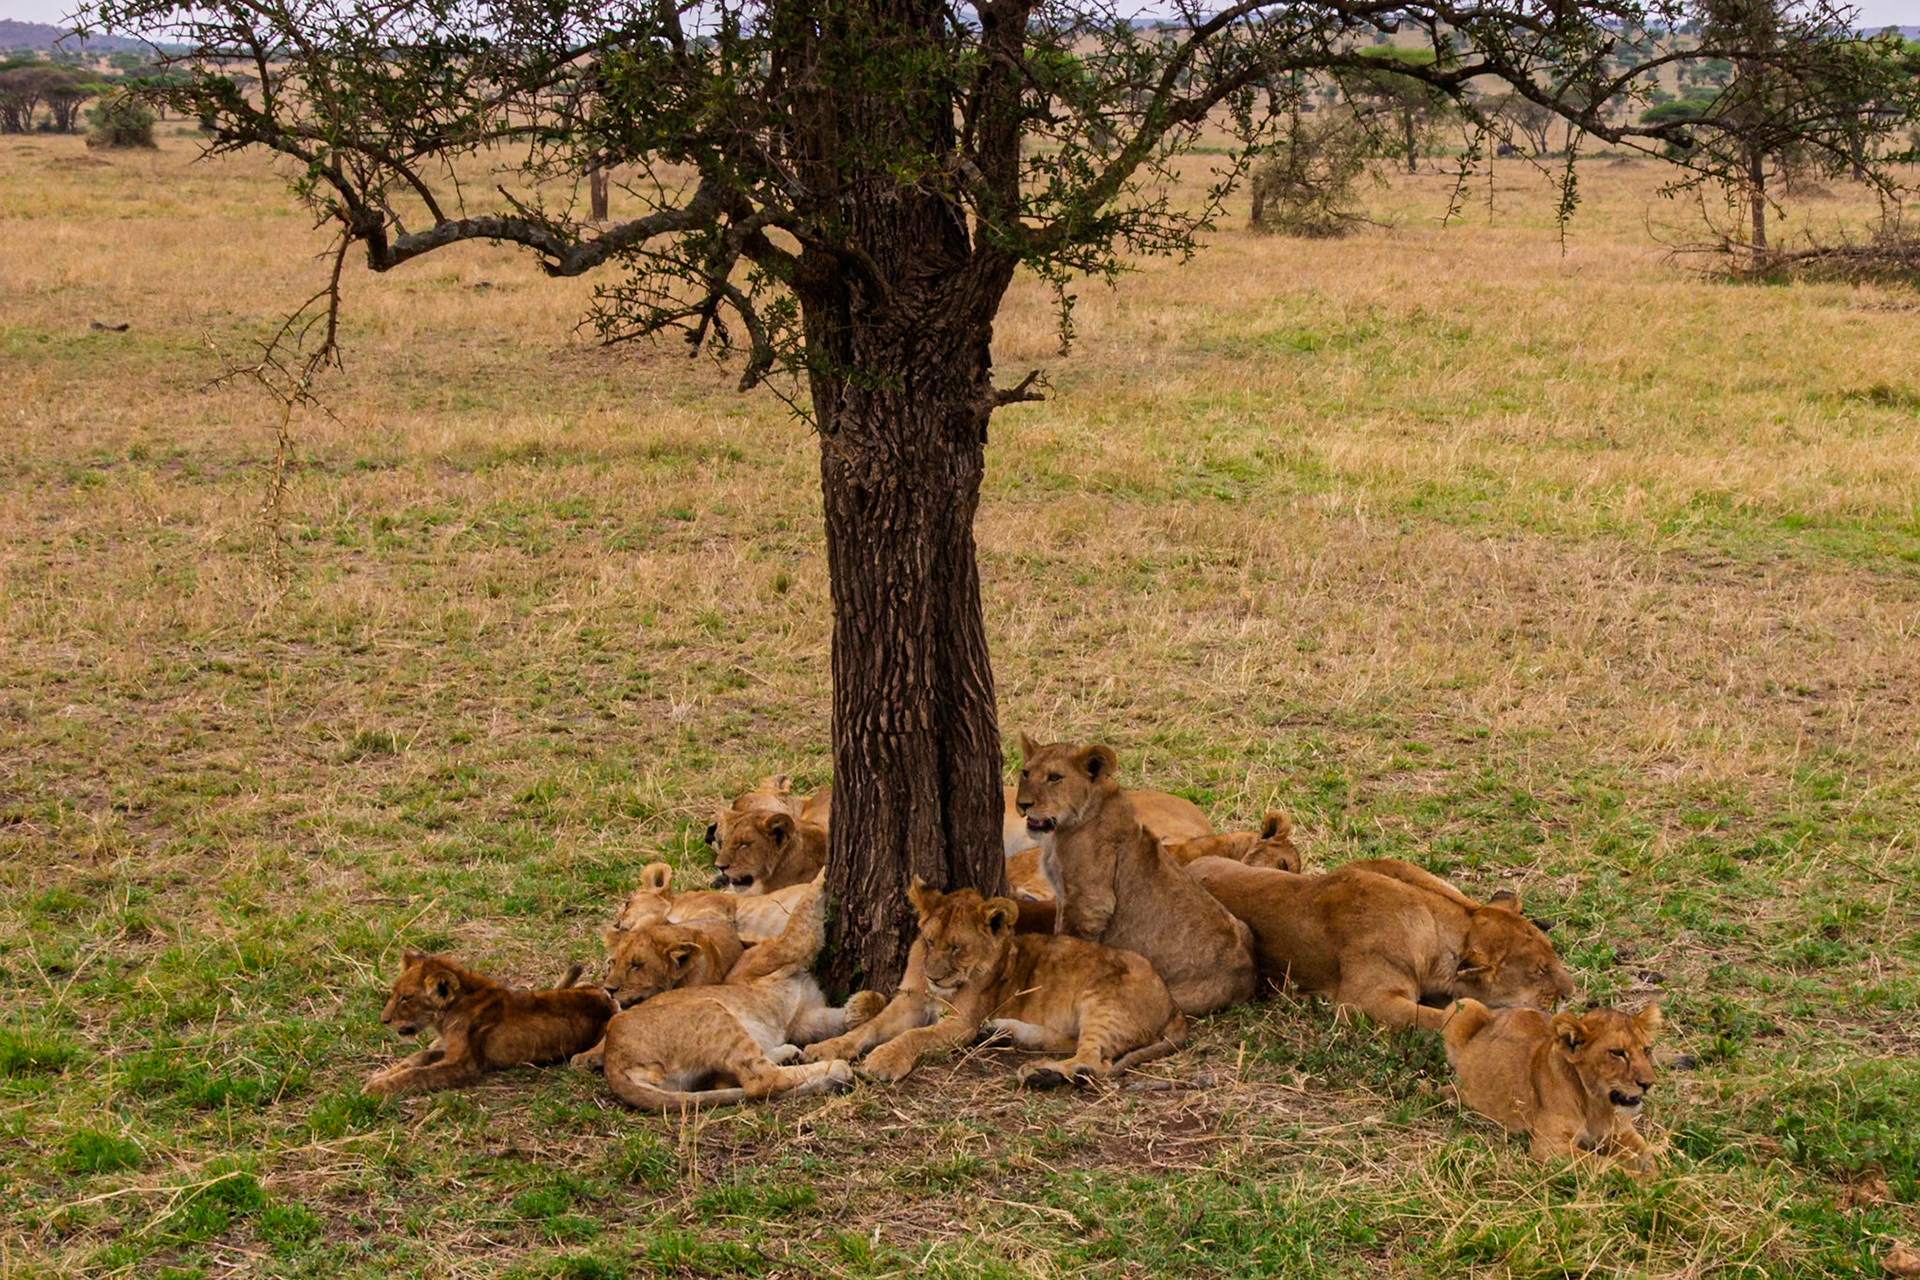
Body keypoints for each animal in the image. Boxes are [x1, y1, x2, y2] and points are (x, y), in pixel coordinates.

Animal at [365, 952, 614, 1097]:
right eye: (394, 993)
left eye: (405, 998)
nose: (384, 1020)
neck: (446, 1016)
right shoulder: (452, 1050)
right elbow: (417, 1058)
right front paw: (379, 1076)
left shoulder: (464, 1064)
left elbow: (418, 1074)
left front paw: (376, 1088)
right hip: (587, 985)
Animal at [599, 871, 885, 1110]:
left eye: (635, 965)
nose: (609, 989)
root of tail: (612, 1063)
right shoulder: (779, 952)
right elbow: (803, 916)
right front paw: (821, 874)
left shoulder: (803, 1018)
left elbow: (839, 1019)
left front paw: (864, 1003)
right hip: (711, 1010)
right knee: (762, 1081)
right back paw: (834, 1070)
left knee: (737, 1080)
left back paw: (793, 1056)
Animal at [802, 879, 1187, 1087]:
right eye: (930, 941)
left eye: (957, 947)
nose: (934, 976)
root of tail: (1174, 1004)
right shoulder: (909, 1001)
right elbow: (867, 1028)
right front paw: (827, 1048)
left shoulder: (960, 1023)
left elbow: (915, 1036)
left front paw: (885, 1060)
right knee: (1073, 1045)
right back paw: (1006, 1033)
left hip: (1102, 1003)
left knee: (1093, 1061)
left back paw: (1040, 1074)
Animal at [1013, 736, 1256, 1016]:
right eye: (1026, 773)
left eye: (1054, 777)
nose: (1023, 805)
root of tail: (1247, 977)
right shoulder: (1065, 896)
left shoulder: (1091, 902)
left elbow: (1070, 939)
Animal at [1444, 1000, 1661, 1170]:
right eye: (1617, 1053)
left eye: (1646, 1050)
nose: (1648, 1084)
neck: (1597, 1105)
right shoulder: (1548, 1144)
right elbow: (1598, 1163)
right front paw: (1637, 1180)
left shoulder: (1622, 1134)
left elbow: (1648, 1154)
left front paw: (1658, 1178)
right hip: (1463, 1005)